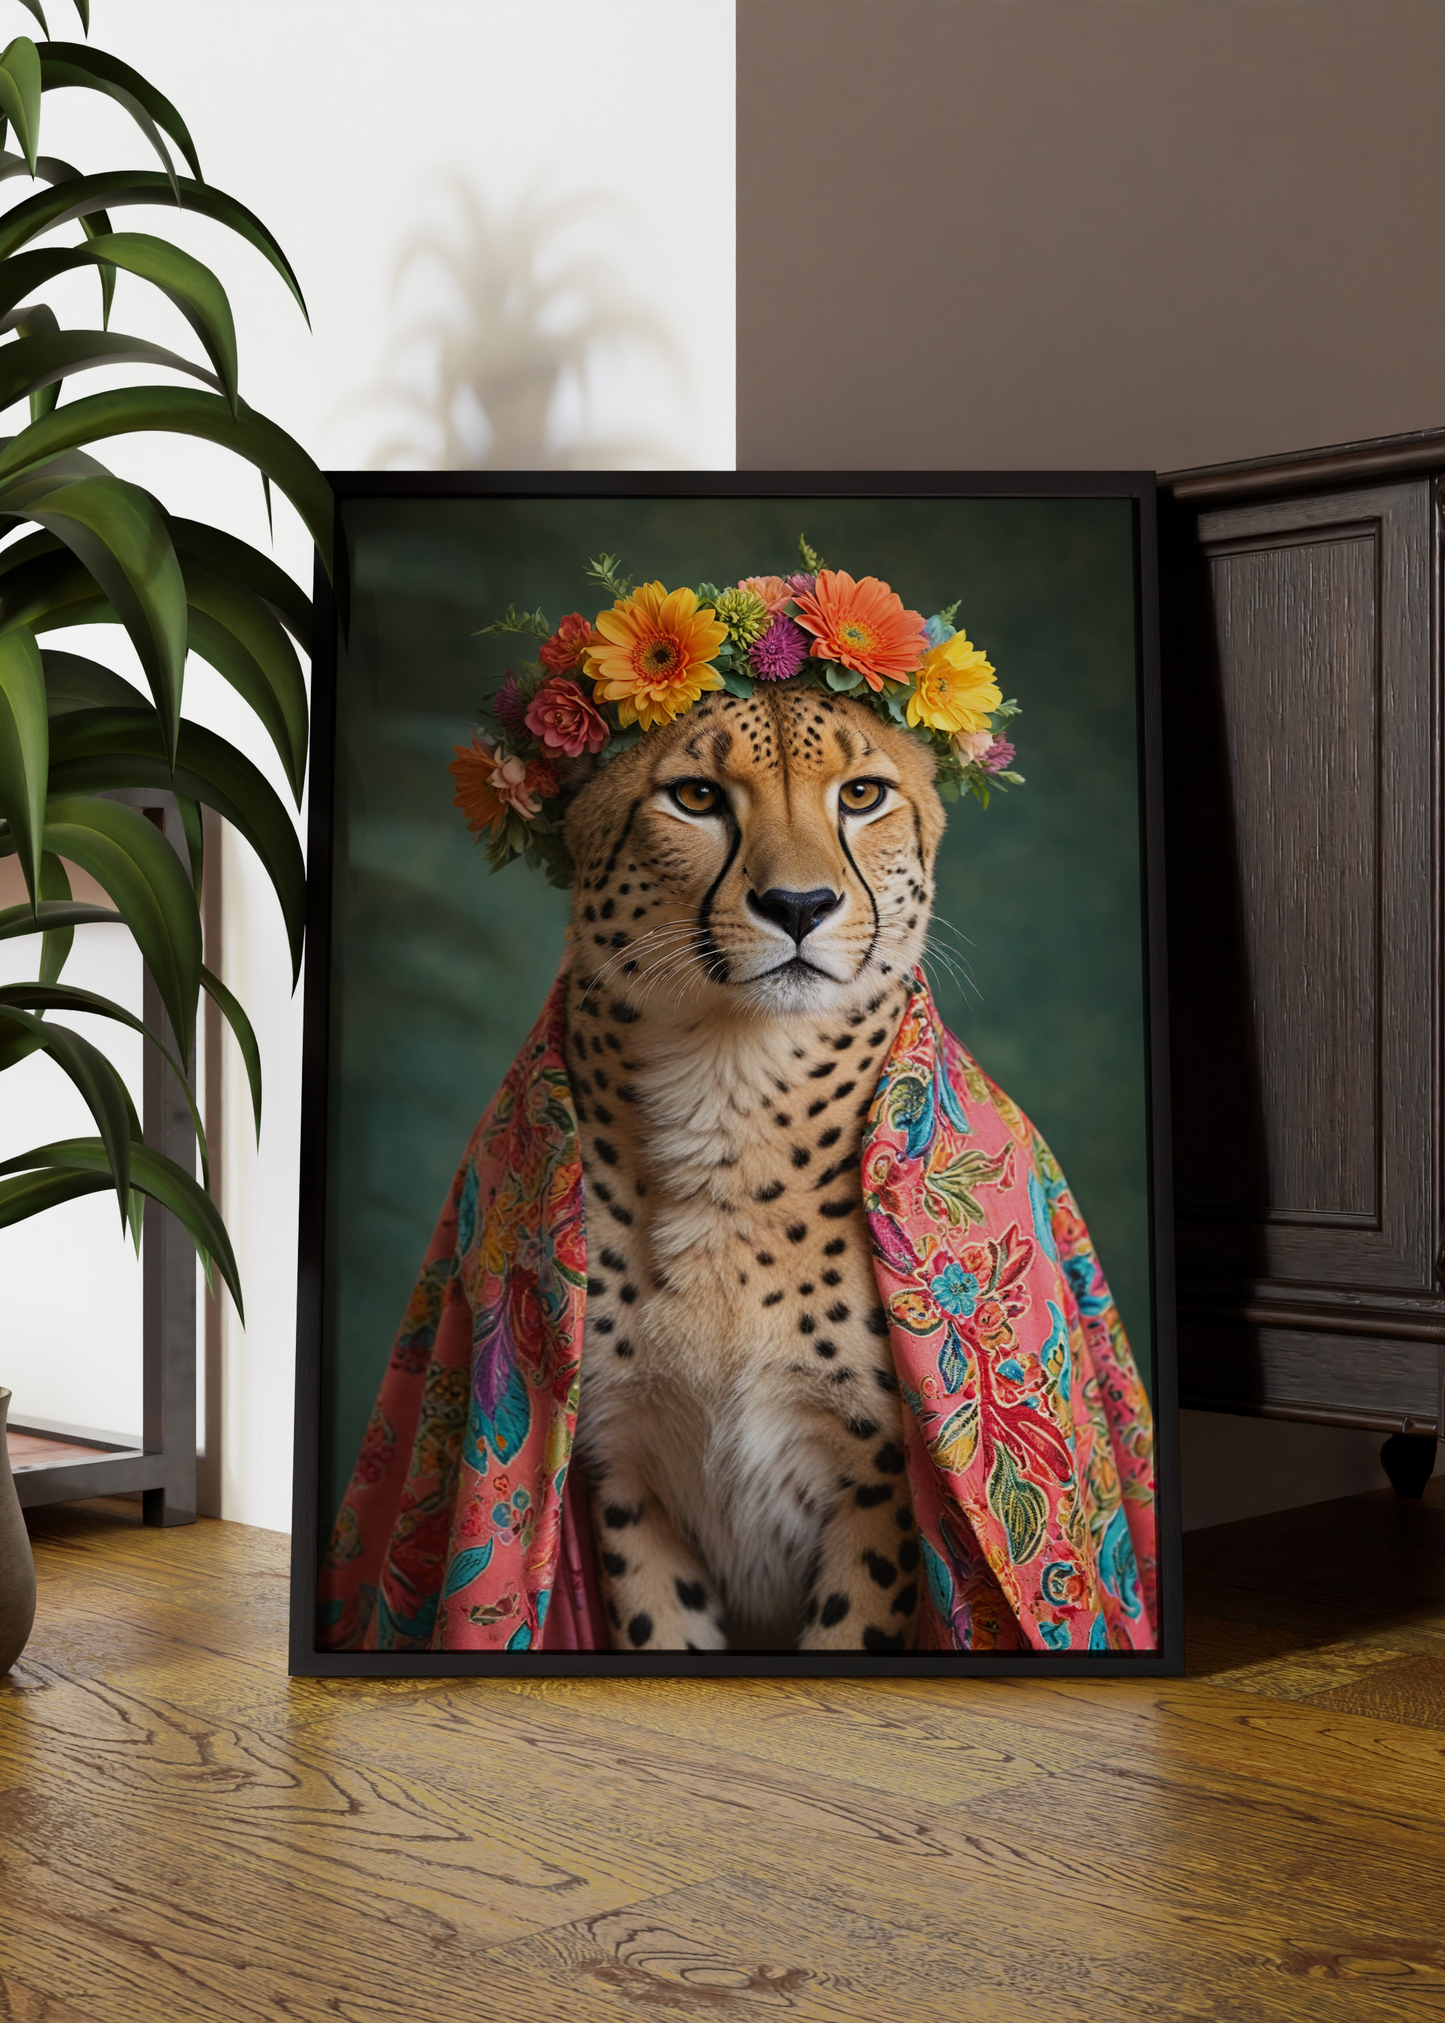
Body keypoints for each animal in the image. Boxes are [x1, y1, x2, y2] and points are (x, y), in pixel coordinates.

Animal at [562, 682, 947, 1652]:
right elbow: (660, 1629)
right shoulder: (622, 1469)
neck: (728, 1083)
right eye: (696, 796)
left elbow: (852, 1630)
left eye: (860, 794)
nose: (799, 904)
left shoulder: (879, 1482)